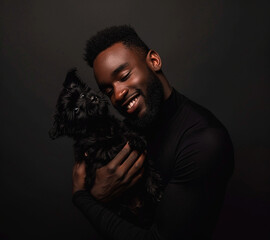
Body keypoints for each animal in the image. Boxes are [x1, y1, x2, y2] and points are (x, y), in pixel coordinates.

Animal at [49, 69, 161, 227]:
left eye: (82, 95)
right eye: (76, 110)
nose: (92, 98)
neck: (101, 125)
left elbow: (147, 163)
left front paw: (154, 186)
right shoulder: (97, 151)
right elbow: (113, 142)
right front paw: (128, 140)